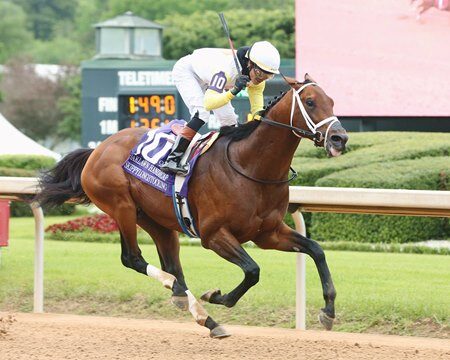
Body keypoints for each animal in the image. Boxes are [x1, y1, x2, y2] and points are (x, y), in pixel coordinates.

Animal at [37, 73, 348, 338]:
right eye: (310, 102)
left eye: (332, 101)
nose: (340, 138)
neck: (251, 167)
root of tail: (97, 149)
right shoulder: (214, 235)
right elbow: (252, 270)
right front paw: (217, 296)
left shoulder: (268, 233)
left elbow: (316, 250)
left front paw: (328, 311)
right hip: (121, 206)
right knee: (133, 258)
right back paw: (188, 299)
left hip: (156, 221)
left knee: (173, 267)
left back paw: (202, 315)